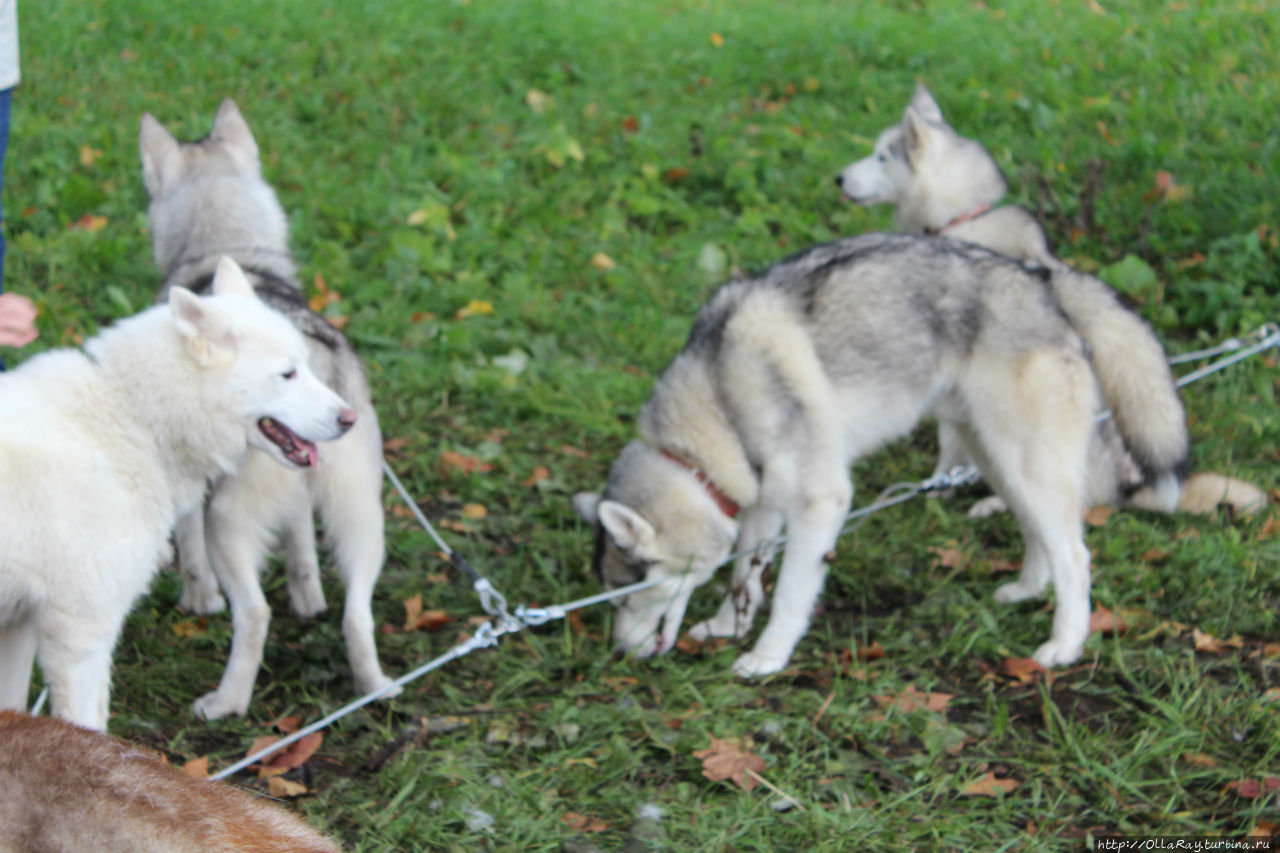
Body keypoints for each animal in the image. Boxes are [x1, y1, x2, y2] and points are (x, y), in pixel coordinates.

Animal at [0, 256, 355, 727]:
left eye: (307, 366)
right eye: (288, 374)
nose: (351, 418)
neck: (129, 417)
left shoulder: (21, 627)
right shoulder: (80, 635)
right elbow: (89, 726)